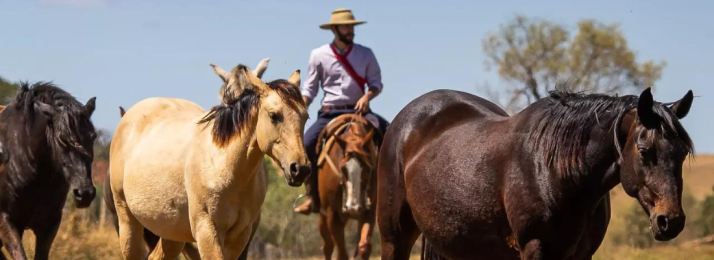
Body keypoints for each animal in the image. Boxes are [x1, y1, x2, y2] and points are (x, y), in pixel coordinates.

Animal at [110, 61, 310, 260]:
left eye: (305, 117)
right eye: (274, 116)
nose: (300, 169)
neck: (224, 165)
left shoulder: (240, 235)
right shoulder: (207, 229)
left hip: (172, 232)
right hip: (127, 220)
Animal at [312, 114, 376, 260]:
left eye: (368, 169)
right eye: (342, 169)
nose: (353, 207)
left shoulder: (369, 210)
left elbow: (364, 247)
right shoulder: (332, 214)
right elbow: (341, 253)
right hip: (324, 217)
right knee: (328, 246)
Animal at [376, 88, 692, 260]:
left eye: (682, 153)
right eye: (644, 151)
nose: (671, 221)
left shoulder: (583, 255)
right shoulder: (535, 248)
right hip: (394, 237)